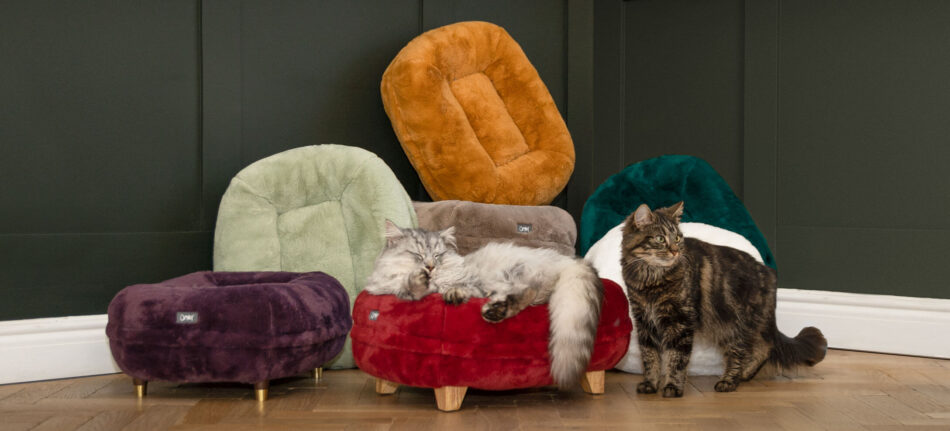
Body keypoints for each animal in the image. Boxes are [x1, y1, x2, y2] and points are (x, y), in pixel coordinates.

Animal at [364, 221, 604, 386]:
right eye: (417, 255)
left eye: (438, 256)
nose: (430, 267)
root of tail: (569, 260)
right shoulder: (388, 287)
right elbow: (407, 287)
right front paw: (421, 281)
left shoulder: (472, 282)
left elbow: (458, 287)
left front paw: (452, 293)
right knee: (525, 294)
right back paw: (497, 310)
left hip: (514, 274)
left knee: (528, 290)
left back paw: (494, 311)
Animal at [620, 202, 828, 398]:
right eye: (660, 239)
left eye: (677, 238)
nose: (675, 251)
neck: (650, 280)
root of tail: (769, 273)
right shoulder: (644, 321)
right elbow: (650, 358)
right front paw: (650, 384)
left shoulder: (681, 322)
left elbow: (676, 359)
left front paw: (673, 387)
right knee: (762, 347)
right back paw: (744, 375)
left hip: (735, 324)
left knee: (747, 351)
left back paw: (729, 381)